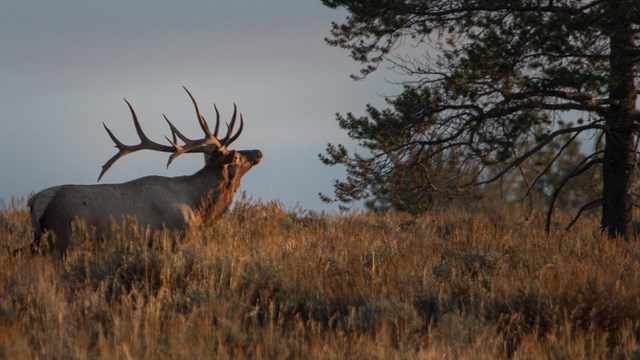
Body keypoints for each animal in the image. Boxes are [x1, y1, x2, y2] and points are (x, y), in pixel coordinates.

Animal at [25, 87, 262, 255]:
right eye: (237, 157)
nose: (258, 151)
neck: (198, 207)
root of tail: (35, 201)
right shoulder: (176, 236)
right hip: (64, 237)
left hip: (39, 241)